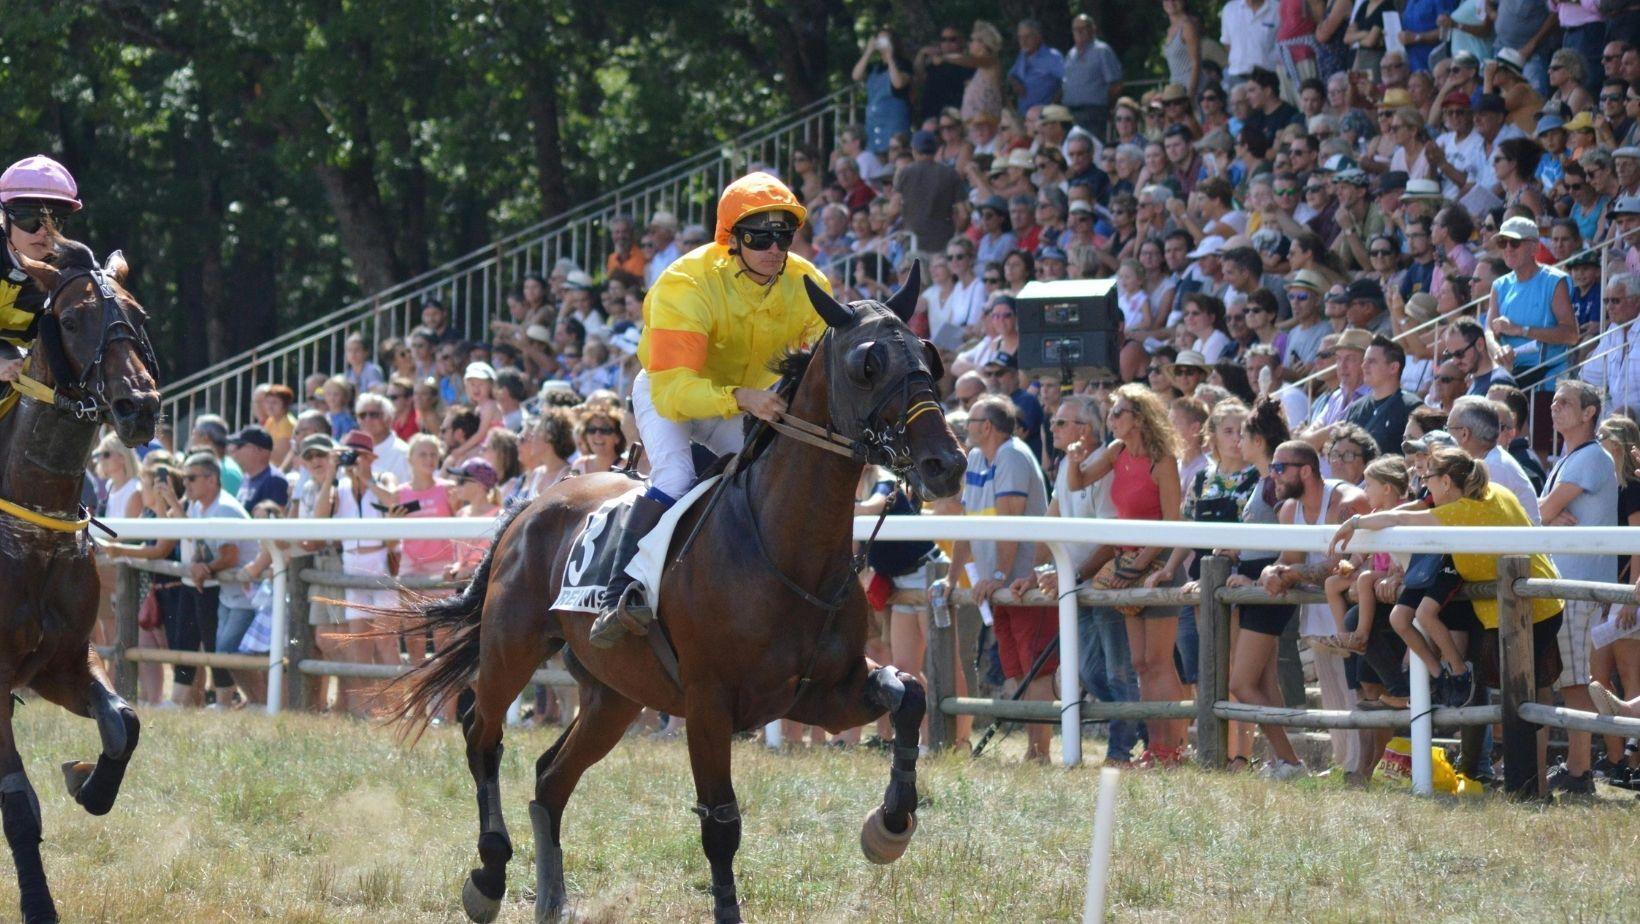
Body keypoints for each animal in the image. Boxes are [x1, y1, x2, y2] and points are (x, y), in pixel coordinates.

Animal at [392, 265, 965, 924]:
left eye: (929, 355)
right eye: (867, 363)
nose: (946, 463)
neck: (786, 549)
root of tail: (532, 503)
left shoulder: (820, 693)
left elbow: (912, 694)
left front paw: (889, 826)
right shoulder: (709, 704)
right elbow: (721, 826)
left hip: (615, 695)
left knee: (549, 778)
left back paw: (552, 899)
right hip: (512, 648)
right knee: (480, 732)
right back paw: (487, 877)